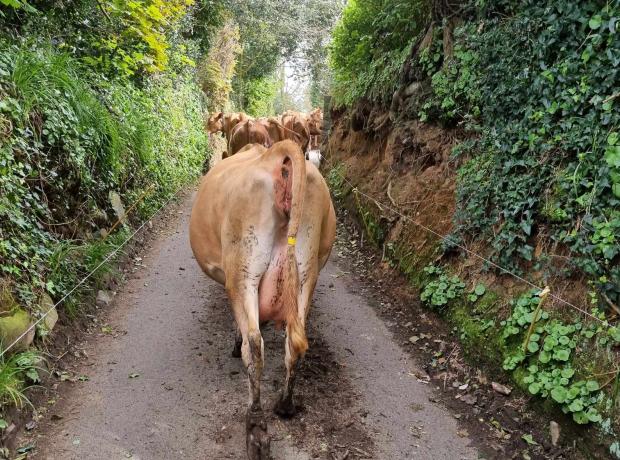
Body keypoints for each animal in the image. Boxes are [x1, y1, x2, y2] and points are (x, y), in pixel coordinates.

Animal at [190, 141, 336, 460]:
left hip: (243, 271)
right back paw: (285, 404)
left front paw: (234, 342)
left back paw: (256, 429)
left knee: (254, 346)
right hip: (307, 270)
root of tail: (277, 154)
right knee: (294, 343)